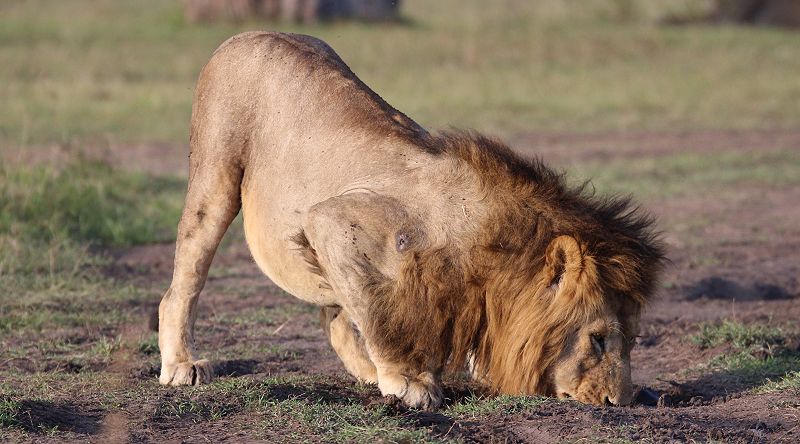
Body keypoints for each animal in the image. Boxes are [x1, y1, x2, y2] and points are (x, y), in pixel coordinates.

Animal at [159, 32, 664, 410]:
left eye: (633, 340)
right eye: (597, 339)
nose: (621, 402)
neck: (483, 252)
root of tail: (249, 33)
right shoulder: (330, 220)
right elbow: (379, 316)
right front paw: (408, 381)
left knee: (333, 314)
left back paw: (364, 373)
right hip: (216, 177)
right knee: (181, 285)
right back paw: (183, 365)